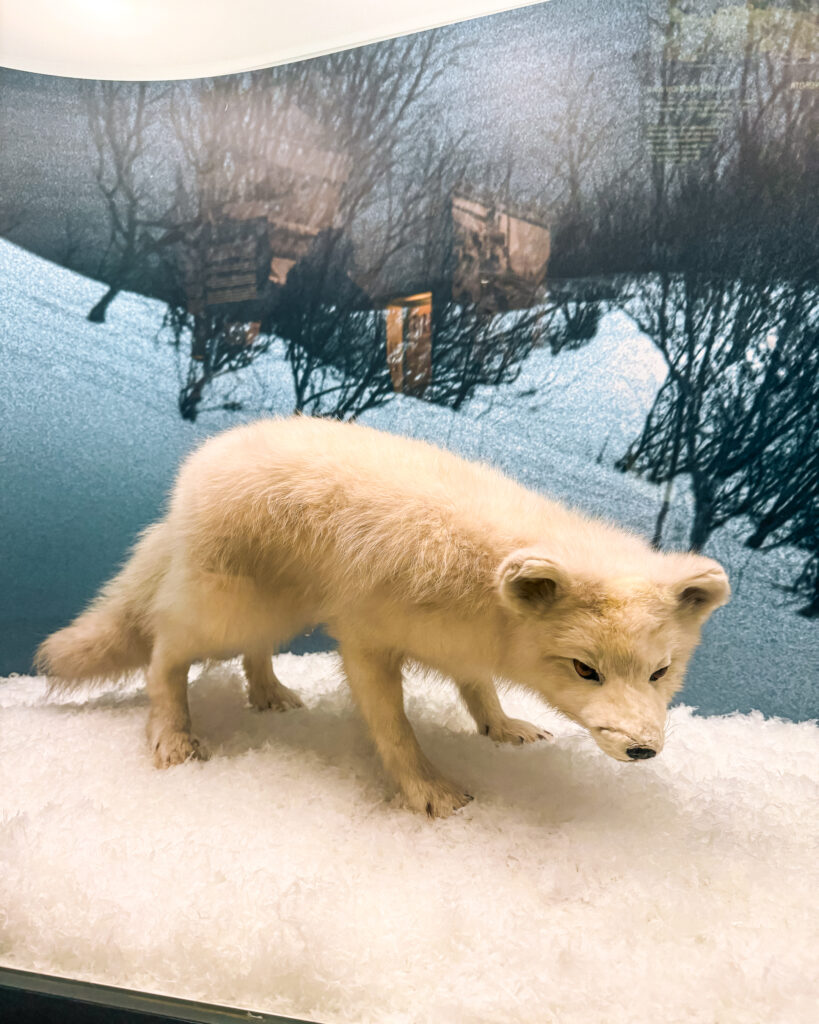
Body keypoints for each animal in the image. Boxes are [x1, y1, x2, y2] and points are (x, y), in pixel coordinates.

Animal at [36, 416, 730, 817]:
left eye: (660, 673)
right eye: (586, 671)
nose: (643, 750)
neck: (485, 585)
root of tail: (194, 471)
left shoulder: (463, 646)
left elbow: (479, 690)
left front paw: (502, 727)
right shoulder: (366, 640)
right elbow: (394, 730)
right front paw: (428, 792)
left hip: (278, 608)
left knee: (251, 650)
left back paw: (269, 694)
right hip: (227, 608)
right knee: (164, 651)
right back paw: (173, 735)